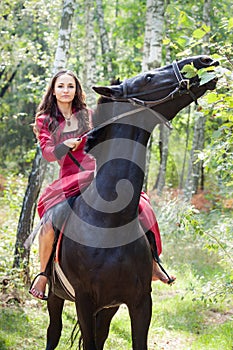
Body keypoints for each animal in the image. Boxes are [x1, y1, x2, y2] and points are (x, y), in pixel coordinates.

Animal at [44, 56, 218, 348]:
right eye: (147, 77)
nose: (203, 61)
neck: (107, 222)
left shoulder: (139, 302)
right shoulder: (84, 301)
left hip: (109, 307)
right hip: (57, 295)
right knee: (53, 332)